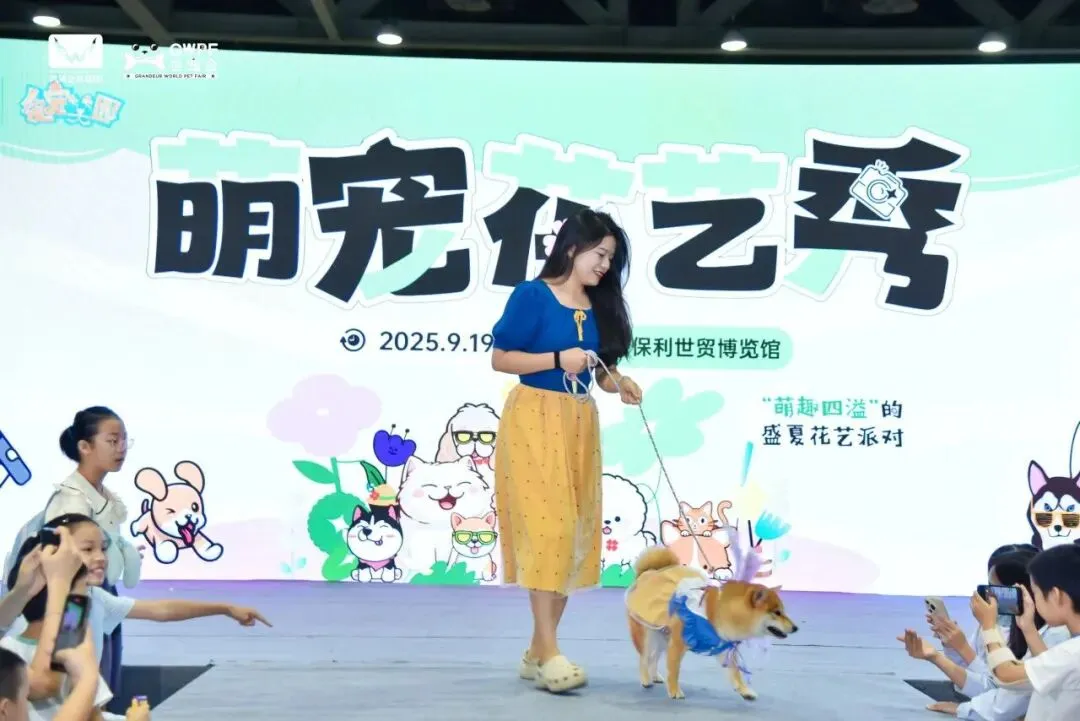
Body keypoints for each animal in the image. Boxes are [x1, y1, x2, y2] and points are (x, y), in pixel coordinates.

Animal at [625, 545, 797, 702]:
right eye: (777, 612)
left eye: (783, 611)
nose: (796, 628)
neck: (719, 612)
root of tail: (648, 572)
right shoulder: (677, 645)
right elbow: (674, 671)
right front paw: (674, 690)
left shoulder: (723, 646)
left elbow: (735, 673)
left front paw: (745, 691)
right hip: (648, 636)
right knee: (644, 658)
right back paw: (646, 680)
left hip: (662, 636)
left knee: (653, 659)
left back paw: (655, 676)